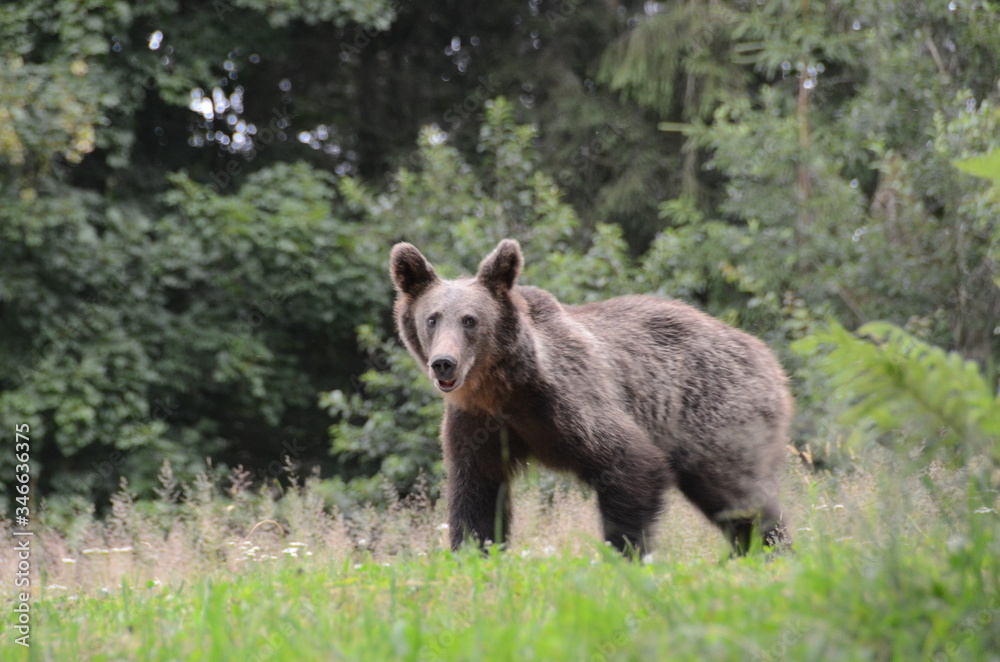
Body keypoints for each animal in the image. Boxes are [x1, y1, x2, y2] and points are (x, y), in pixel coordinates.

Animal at [386, 239, 792, 556]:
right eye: (433, 318)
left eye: (470, 320)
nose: (444, 363)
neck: (503, 389)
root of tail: (770, 361)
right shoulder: (477, 425)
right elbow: (475, 499)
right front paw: (474, 556)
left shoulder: (569, 402)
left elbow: (631, 464)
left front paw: (625, 554)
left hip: (714, 410)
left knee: (738, 495)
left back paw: (772, 550)